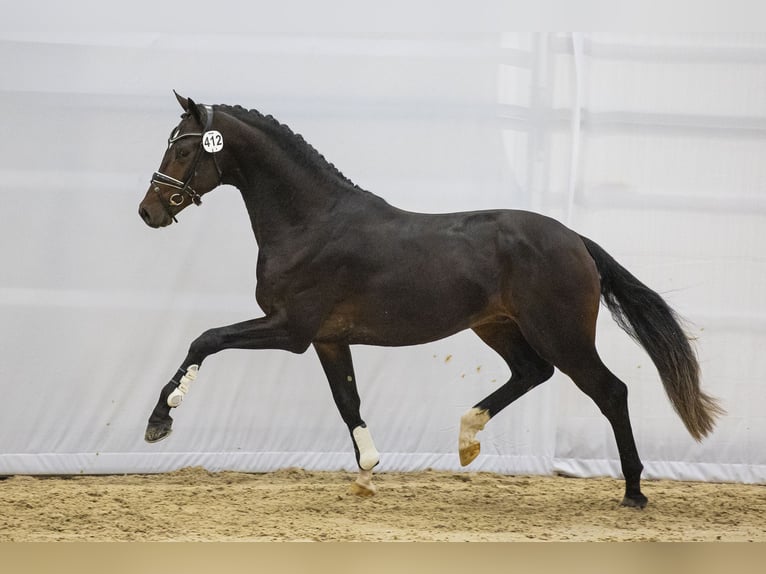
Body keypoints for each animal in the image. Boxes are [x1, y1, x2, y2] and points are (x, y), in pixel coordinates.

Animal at [140, 93, 728, 508]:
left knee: (610, 391)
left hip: (561, 333)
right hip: (497, 326)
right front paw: (368, 473)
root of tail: (575, 240)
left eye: (185, 148)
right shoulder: (328, 340)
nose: (149, 211)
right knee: (532, 372)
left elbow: (206, 339)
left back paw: (633, 492)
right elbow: (348, 401)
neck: (312, 223)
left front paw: (161, 419)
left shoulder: (290, 329)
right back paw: (468, 440)